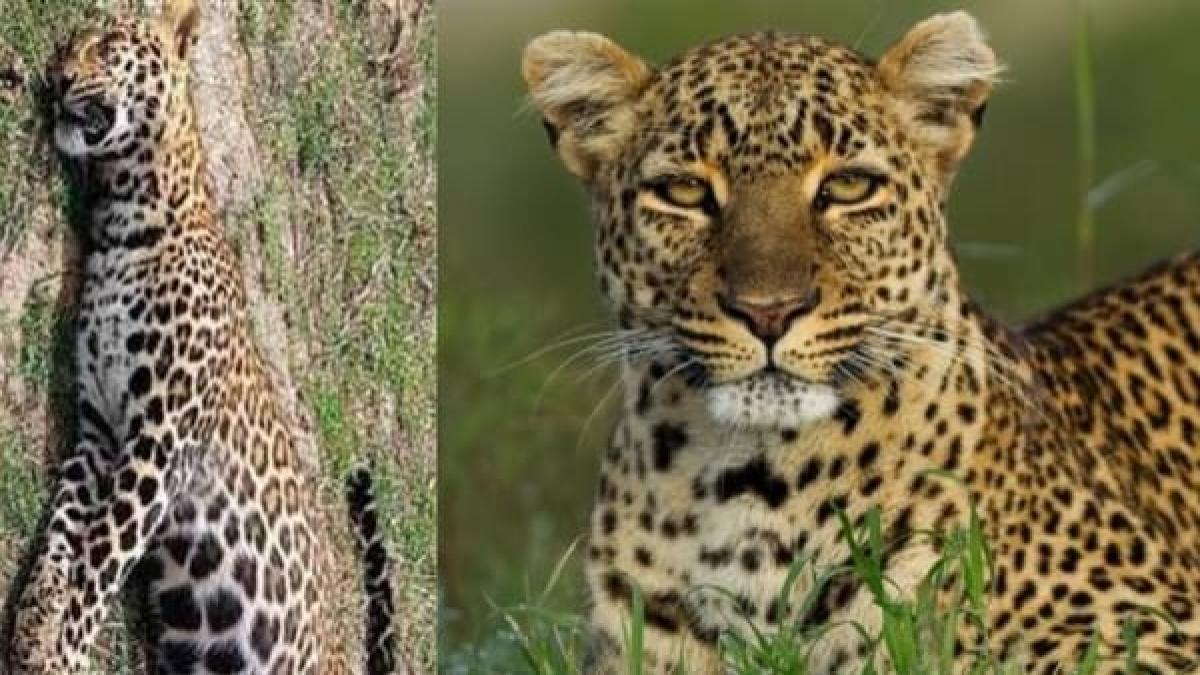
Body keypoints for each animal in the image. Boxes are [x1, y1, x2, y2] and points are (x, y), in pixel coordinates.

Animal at [5, 1, 397, 673]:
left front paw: (66, 650)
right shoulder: (99, 430)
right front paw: (34, 625)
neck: (129, 216)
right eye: (68, 46)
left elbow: (99, 555)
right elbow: (62, 534)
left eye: (108, 43)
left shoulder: (158, 443)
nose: (57, 79)